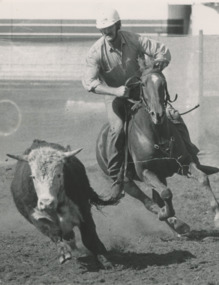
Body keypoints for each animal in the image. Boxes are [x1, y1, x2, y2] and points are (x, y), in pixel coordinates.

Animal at [6, 139, 114, 268]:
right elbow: (54, 232)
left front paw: (105, 258)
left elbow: (89, 237)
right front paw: (63, 253)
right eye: (33, 177)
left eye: (58, 174)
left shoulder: (83, 211)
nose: (46, 203)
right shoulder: (36, 217)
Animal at [96, 63, 219, 235]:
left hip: (160, 176)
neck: (157, 135)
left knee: (157, 198)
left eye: (163, 82)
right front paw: (166, 215)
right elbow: (166, 193)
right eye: (142, 84)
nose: (158, 114)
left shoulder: (184, 163)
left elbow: (203, 178)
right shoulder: (146, 171)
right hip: (127, 183)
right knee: (149, 202)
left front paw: (217, 218)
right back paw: (174, 222)